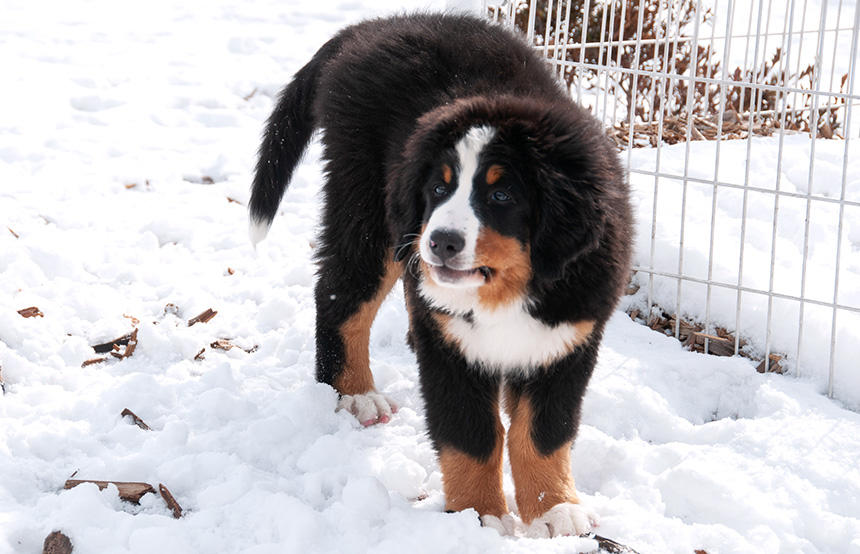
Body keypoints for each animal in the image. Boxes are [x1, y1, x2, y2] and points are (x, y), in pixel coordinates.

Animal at [249, 11, 632, 536]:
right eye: (438, 187)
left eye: (502, 196)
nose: (441, 243)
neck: (507, 290)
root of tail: (373, 26)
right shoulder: (450, 347)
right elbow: (471, 435)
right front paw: (479, 517)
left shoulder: (566, 341)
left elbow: (542, 434)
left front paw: (553, 509)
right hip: (370, 214)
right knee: (339, 295)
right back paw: (355, 395)